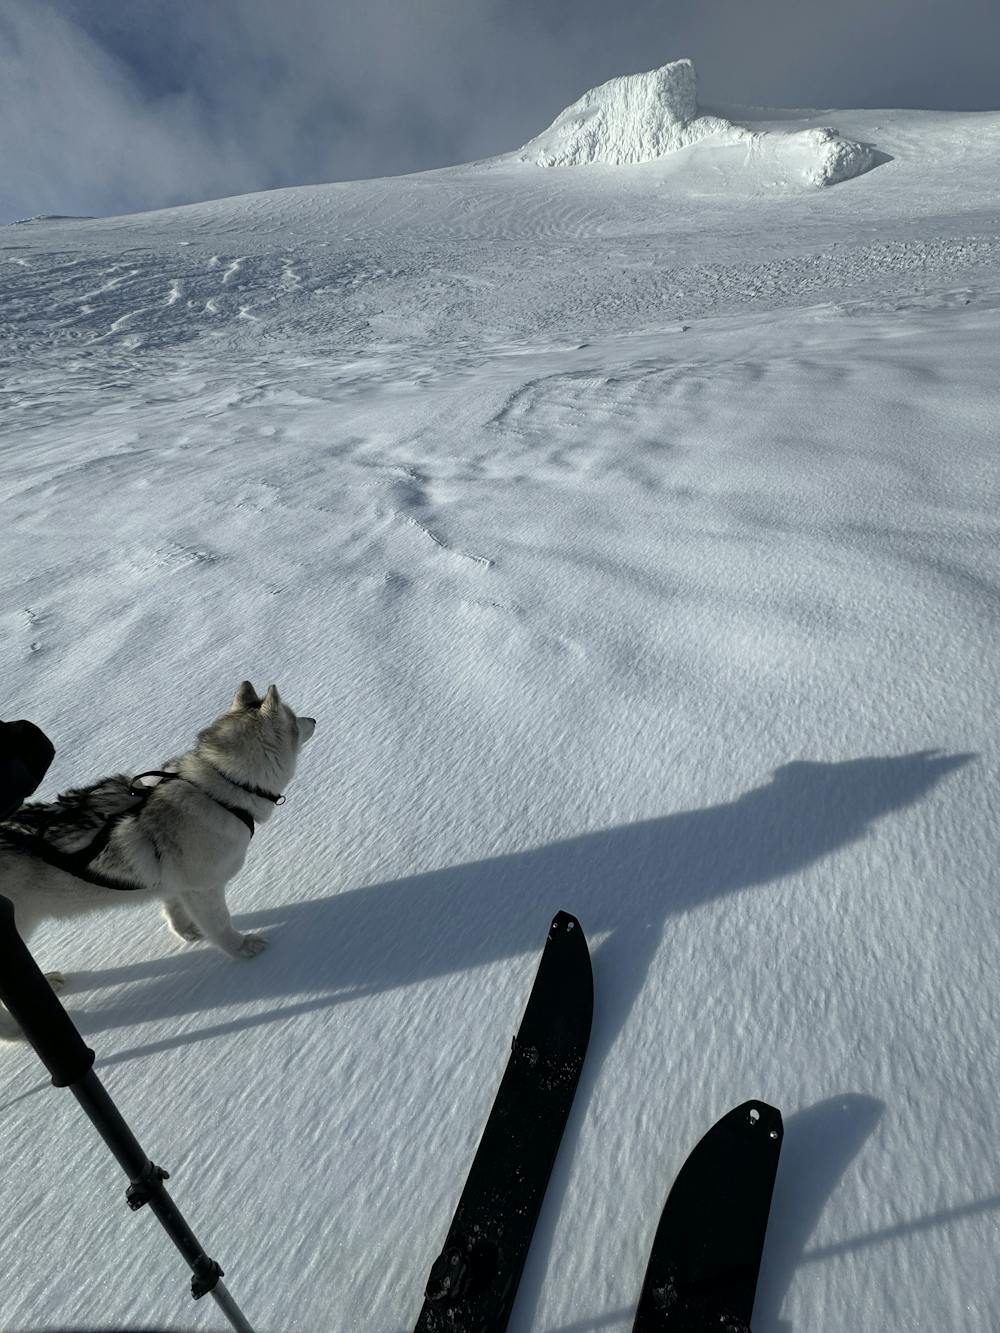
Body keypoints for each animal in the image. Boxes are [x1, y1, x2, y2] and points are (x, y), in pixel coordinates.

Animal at [0, 687, 317, 1039]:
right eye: (294, 719)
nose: (314, 719)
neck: (220, 788)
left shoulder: (175, 883)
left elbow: (173, 908)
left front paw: (187, 931)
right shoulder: (203, 889)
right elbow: (220, 925)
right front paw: (241, 947)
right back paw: (15, 1031)